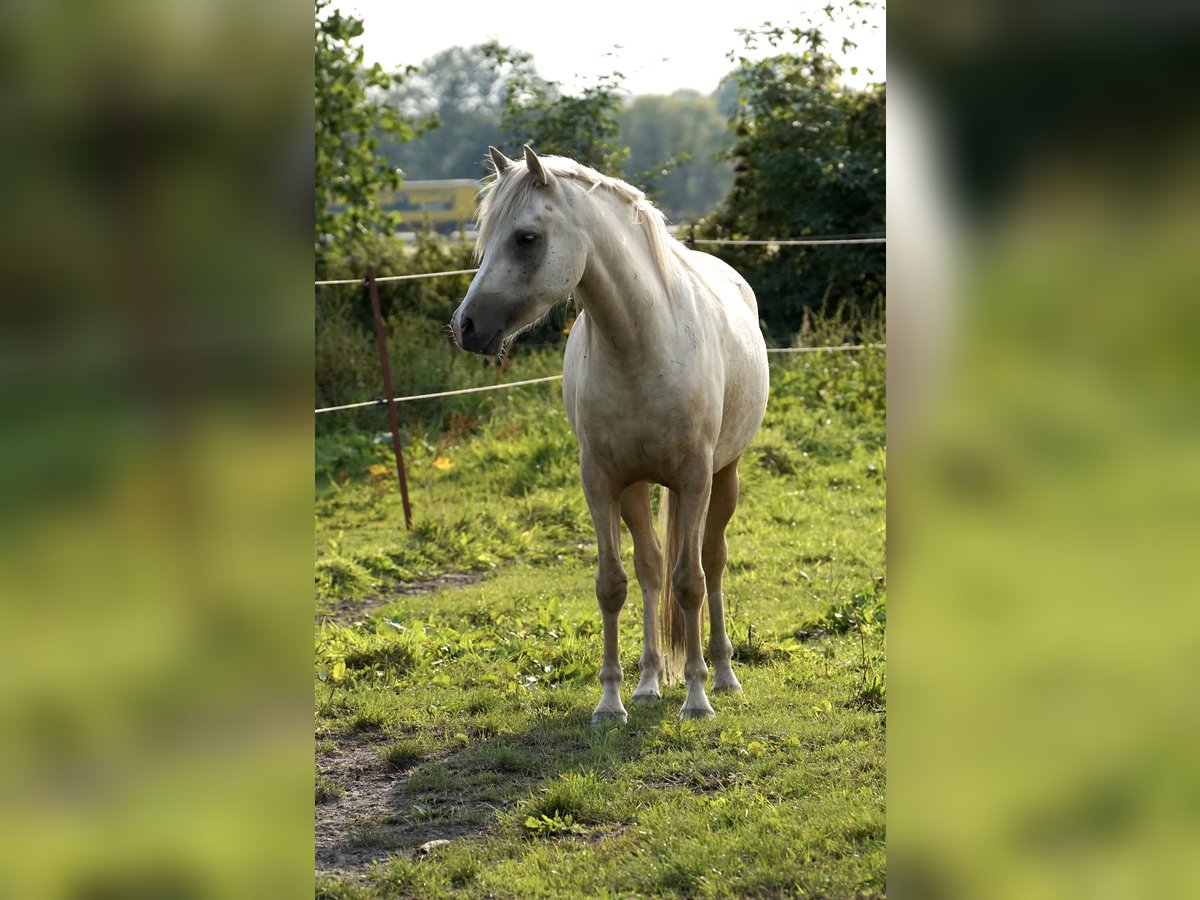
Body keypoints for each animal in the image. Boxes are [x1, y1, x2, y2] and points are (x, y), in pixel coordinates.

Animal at [451, 148, 768, 724]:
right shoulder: (600, 482)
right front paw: (611, 701)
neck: (641, 344)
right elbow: (613, 584)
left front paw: (696, 699)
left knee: (711, 562)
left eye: (526, 238)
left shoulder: (694, 478)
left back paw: (723, 674)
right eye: (485, 237)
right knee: (651, 569)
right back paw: (647, 684)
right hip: (637, 488)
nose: (466, 326)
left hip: (724, 475)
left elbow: (690, 583)